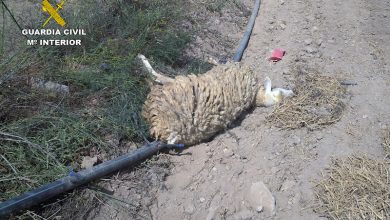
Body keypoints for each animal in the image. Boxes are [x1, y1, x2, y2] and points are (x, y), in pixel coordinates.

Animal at [138, 54, 292, 145]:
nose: (292, 92)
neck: (255, 94)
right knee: (159, 78)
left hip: (178, 86)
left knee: (159, 77)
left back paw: (143, 62)